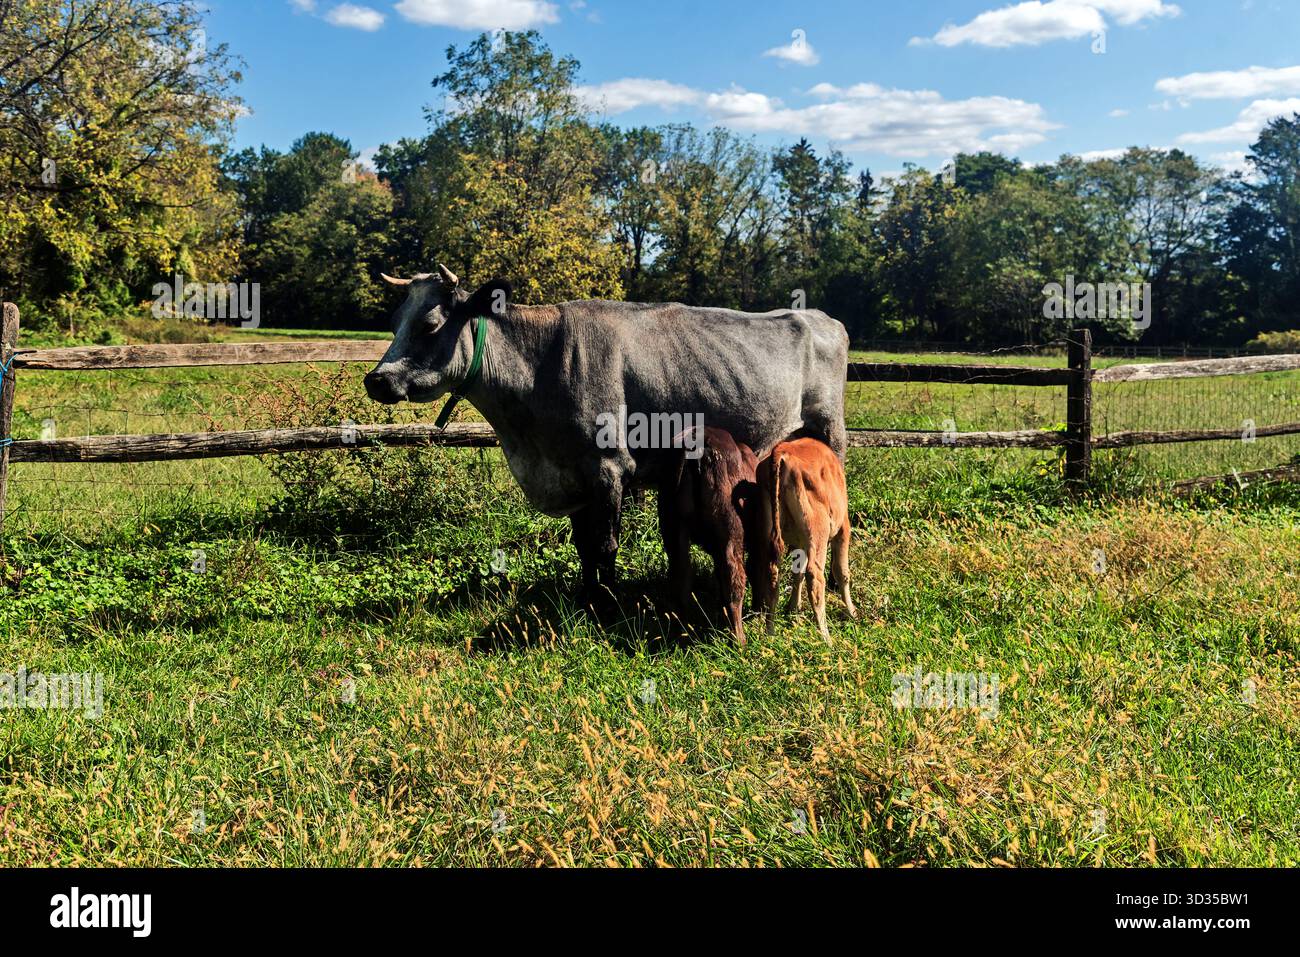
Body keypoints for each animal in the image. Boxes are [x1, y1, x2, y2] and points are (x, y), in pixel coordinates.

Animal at [363, 264, 848, 608]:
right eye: (394, 320)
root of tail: (819, 317)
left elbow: (605, 543)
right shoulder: (572, 474)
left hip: (831, 432)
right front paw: (585, 596)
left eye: (429, 324)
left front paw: (607, 604)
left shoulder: (609, 467)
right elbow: (582, 546)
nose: (377, 380)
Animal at [658, 426, 759, 644]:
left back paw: (682, 633)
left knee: (681, 574)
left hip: (673, 525)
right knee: (733, 577)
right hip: (731, 530)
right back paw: (739, 640)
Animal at [756, 437, 857, 640]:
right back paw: (826, 637)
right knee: (815, 576)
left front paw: (793, 608)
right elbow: (842, 572)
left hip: (770, 530)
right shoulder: (843, 528)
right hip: (818, 532)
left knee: (772, 573)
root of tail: (782, 450)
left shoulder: (799, 541)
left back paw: (770, 632)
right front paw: (852, 612)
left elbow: (798, 573)